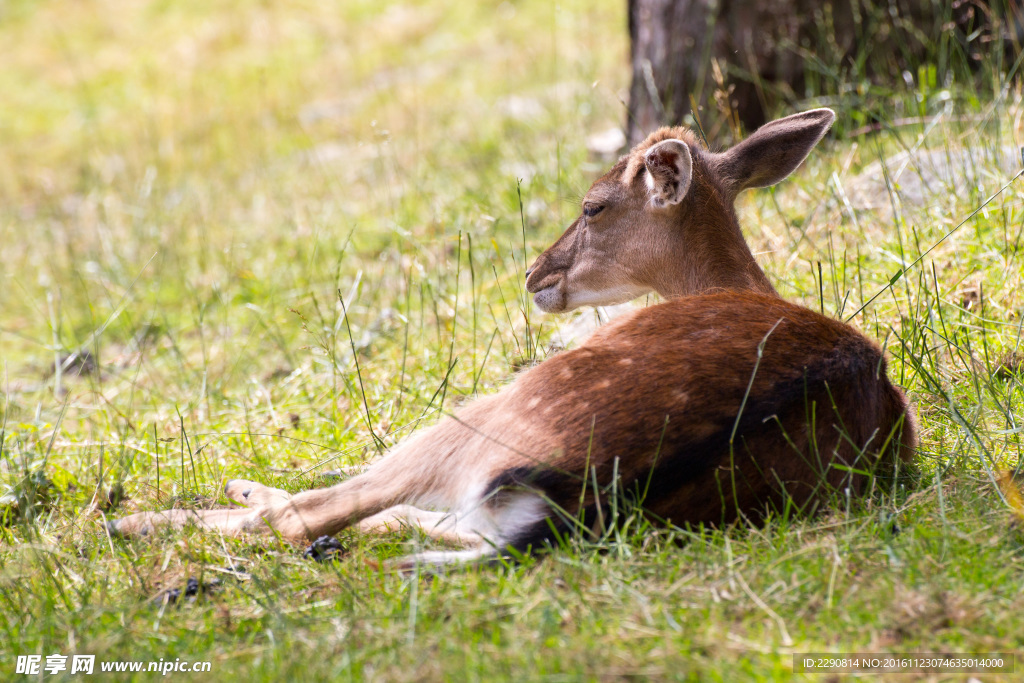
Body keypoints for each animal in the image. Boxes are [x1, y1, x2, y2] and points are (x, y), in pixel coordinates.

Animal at [109, 108, 917, 567]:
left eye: (592, 205)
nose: (535, 275)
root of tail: (591, 495)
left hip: (482, 414)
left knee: (311, 511)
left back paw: (136, 518)